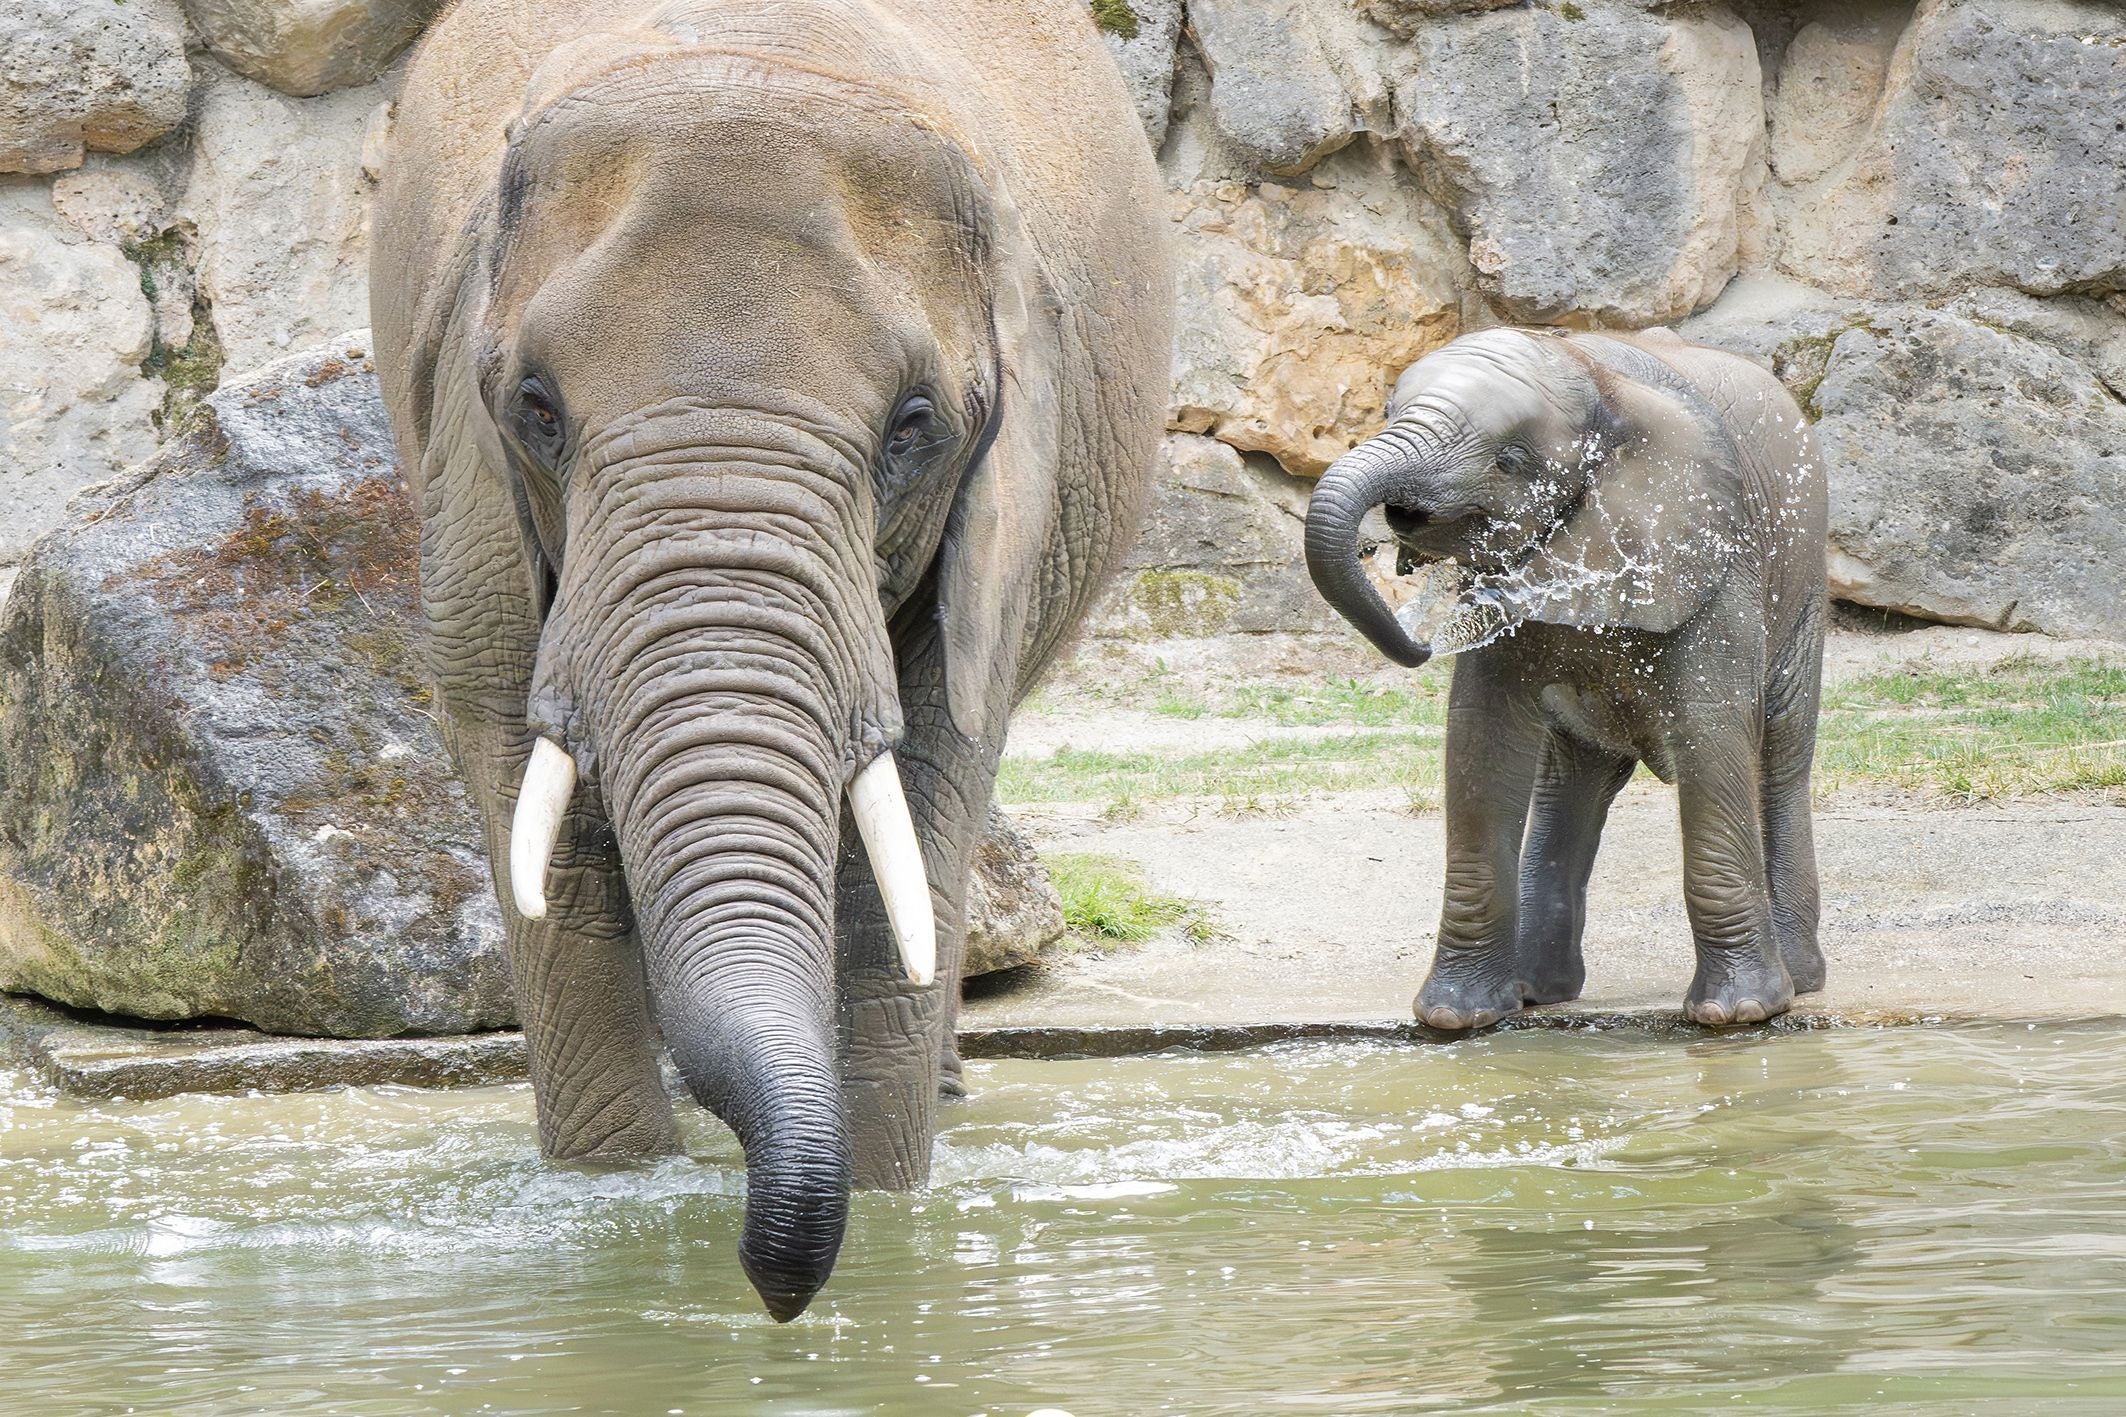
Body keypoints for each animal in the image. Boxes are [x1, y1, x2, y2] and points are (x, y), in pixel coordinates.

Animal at [368, 0, 1171, 1319]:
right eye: (535, 407)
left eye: (913, 427)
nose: (773, 1287)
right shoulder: (468, 480)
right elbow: (539, 820)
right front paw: (617, 1212)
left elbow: (918, 812)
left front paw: (888, 1216)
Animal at [1304, 327, 1827, 1032]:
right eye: (1386, 412)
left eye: (1511, 460)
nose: (1419, 638)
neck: (1596, 373)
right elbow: (1482, 737)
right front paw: (1455, 1018)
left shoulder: (1715, 559)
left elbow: (1711, 730)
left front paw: (1737, 1014)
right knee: (1571, 781)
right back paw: (1539, 991)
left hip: (1802, 588)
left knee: (1779, 759)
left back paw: (1801, 981)